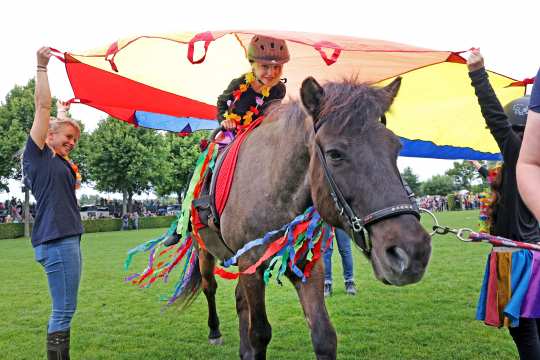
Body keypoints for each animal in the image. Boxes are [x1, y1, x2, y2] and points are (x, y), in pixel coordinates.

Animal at [186, 74, 430, 358]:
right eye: (334, 154)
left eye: (396, 147)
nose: (412, 251)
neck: (272, 187)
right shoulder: (250, 264)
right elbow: (260, 334)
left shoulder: (306, 264)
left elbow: (324, 336)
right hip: (205, 252)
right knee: (209, 287)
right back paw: (214, 331)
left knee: (238, 299)